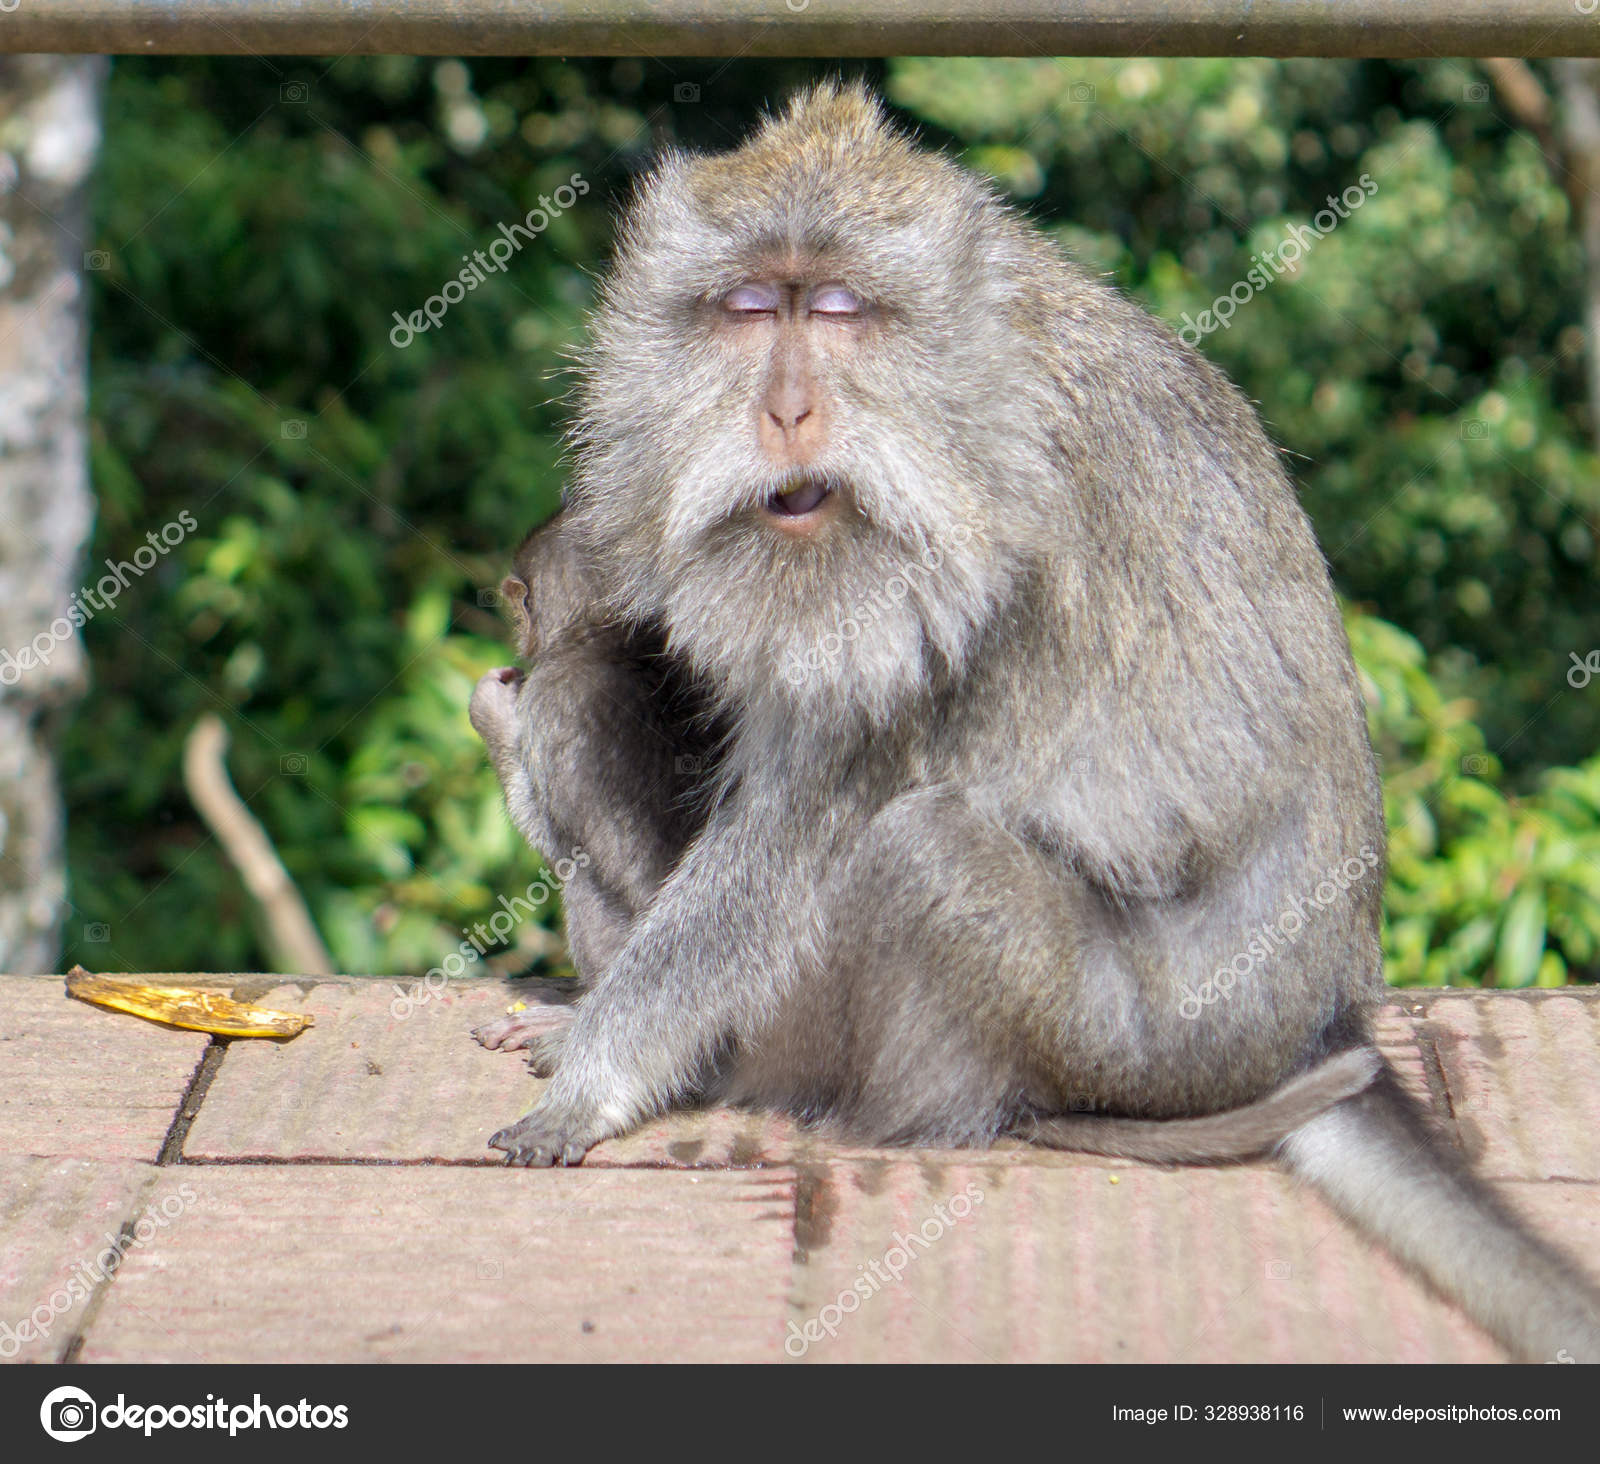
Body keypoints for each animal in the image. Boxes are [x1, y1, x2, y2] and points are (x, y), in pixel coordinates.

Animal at [467, 82, 1600, 1363]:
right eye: (750, 308)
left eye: (842, 311)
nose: (787, 409)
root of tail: (1317, 1023)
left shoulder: (969, 568)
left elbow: (776, 861)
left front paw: (586, 1076)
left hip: (1130, 1039)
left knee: (925, 853)